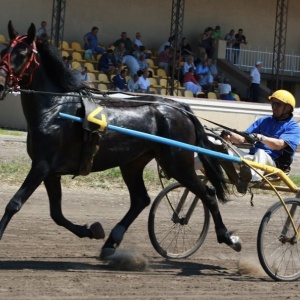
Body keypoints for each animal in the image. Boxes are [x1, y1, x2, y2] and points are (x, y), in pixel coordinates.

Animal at [0, 22, 241, 258]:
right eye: (4, 50)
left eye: (21, 52)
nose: (1, 81)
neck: (56, 108)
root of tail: (180, 107)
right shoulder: (50, 171)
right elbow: (56, 214)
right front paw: (92, 231)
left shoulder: (42, 165)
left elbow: (14, 204)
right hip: (133, 163)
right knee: (141, 199)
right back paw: (111, 241)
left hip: (177, 163)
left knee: (208, 194)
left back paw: (228, 237)